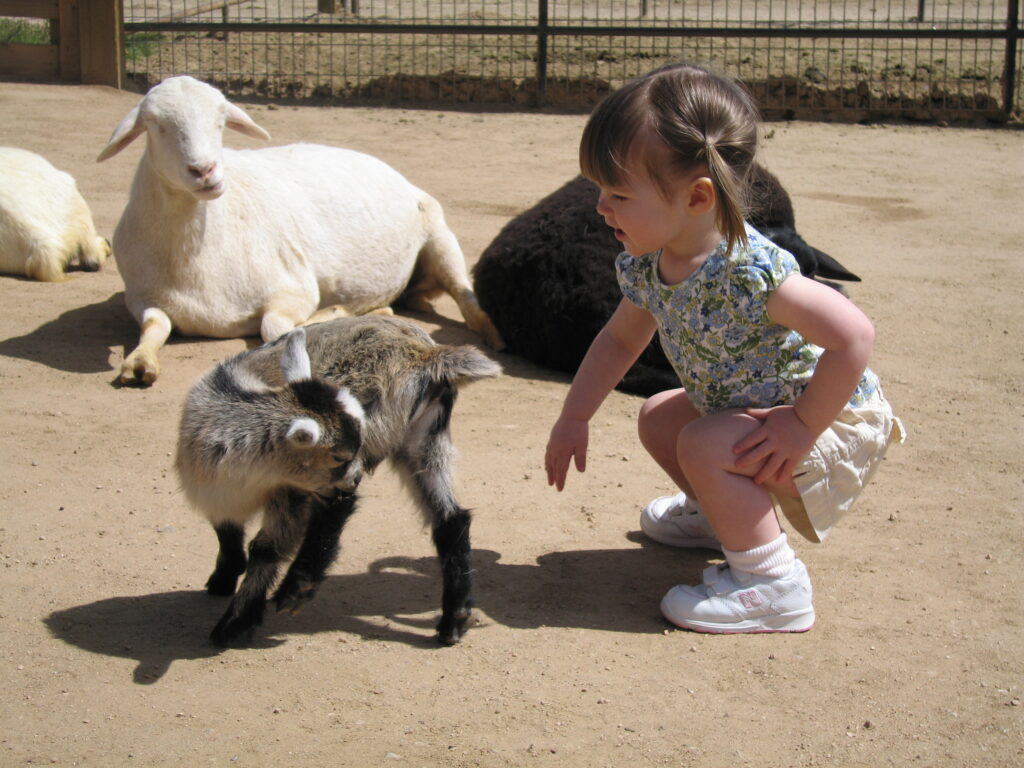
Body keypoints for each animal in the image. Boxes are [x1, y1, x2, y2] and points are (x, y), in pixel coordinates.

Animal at [97, 75, 505, 387]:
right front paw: (140, 362)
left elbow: (277, 328)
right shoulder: (142, 298)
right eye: (156, 125)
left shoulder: (294, 288)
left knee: (466, 297)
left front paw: (337, 313)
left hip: (439, 236)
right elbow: (156, 324)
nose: (205, 171)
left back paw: (491, 334)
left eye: (220, 122)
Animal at [177, 315, 503, 647]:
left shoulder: (291, 493)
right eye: (337, 455)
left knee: (340, 507)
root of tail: (423, 353)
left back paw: (297, 588)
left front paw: (233, 625)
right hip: (420, 440)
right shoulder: (217, 496)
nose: (354, 475)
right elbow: (225, 530)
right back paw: (453, 622)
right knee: (451, 520)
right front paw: (223, 578)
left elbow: (266, 548)